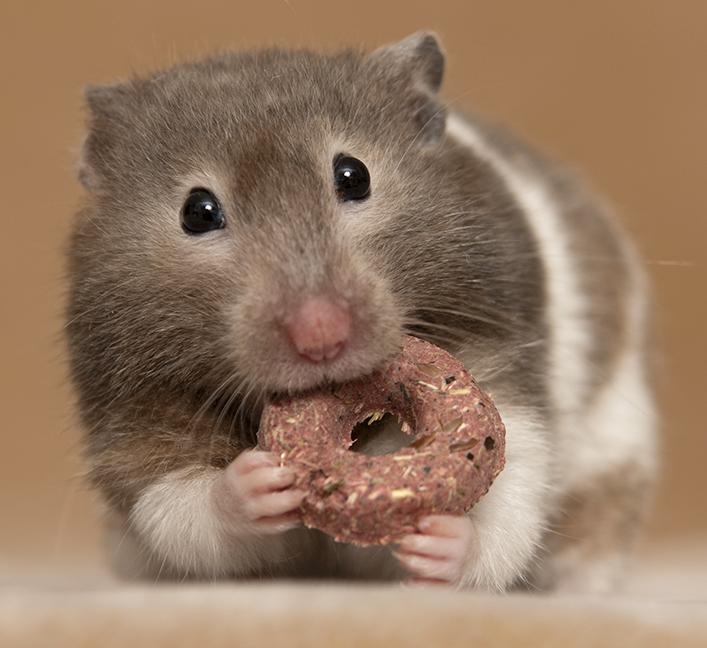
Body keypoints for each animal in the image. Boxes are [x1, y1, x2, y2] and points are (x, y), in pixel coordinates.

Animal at [66, 32, 657, 592]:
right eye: (198, 212)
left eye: (354, 176)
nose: (321, 337)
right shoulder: (134, 411)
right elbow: (178, 505)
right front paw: (257, 482)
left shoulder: (502, 354)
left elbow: (512, 493)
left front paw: (442, 543)